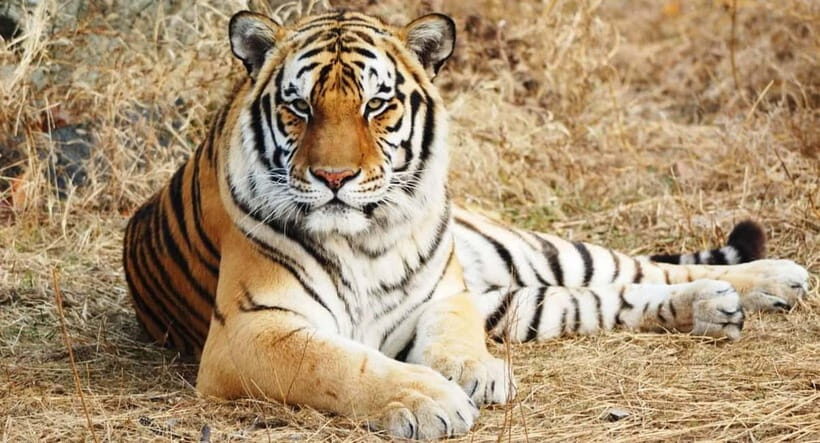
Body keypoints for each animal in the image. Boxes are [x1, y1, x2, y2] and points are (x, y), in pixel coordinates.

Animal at [122, 10, 810, 439]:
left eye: (377, 104)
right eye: (300, 107)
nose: (335, 178)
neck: (364, 238)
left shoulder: (445, 293)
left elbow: (453, 335)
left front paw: (471, 372)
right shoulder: (251, 331)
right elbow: (337, 364)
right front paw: (429, 398)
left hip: (531, 254)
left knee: (632, 269)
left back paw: (775, 280)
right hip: (520, 301)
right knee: (608, 298)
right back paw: (714, 308)